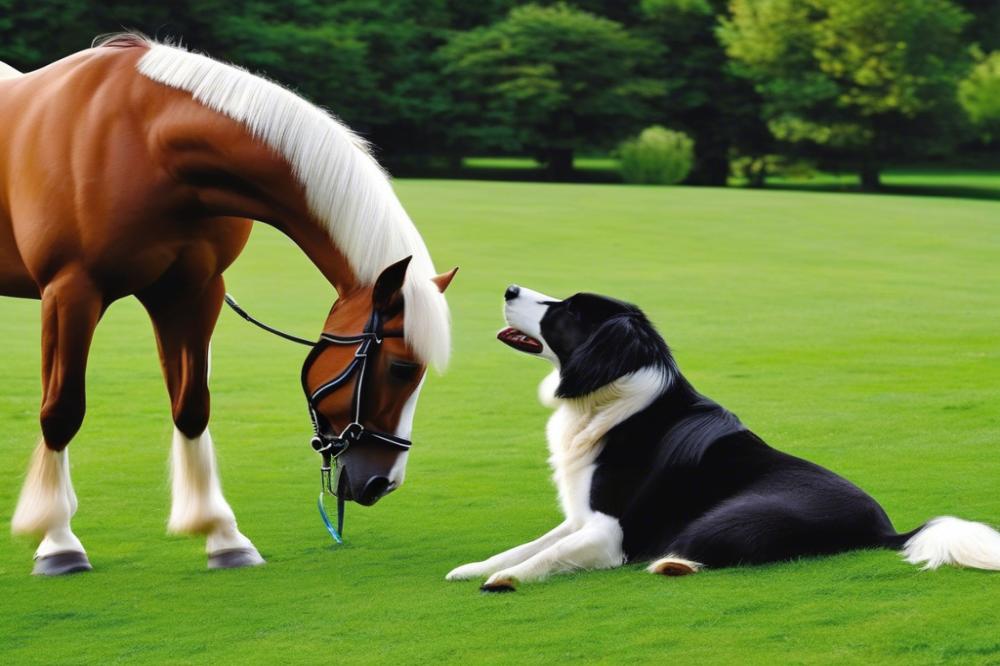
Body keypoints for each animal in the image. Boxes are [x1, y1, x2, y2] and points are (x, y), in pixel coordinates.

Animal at [1, 36, 456, 572]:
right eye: (403, 368)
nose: (384, 482)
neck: (145, 143)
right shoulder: (71, 290)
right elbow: (62, 411)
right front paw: (57, 540)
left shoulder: (193, 291)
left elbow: (192, 406)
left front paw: (221, 535)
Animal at [448, 282, 1000, 588]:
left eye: (565, 311)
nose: (509, 289)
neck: (608, 393)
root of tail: (887, 530)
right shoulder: (581, 515)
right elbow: (529, 544)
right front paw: (475, 567)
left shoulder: (609, 531)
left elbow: (548, 553)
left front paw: (506, 580)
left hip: (727, 515)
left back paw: (668, 566)